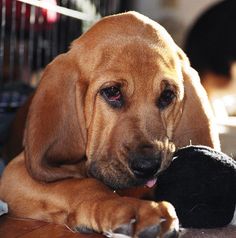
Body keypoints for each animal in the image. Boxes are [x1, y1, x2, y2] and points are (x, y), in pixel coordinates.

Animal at [0, 12, 219, 237]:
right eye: (112, 92)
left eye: (167, 95)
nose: (148, 167)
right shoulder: (14, 173)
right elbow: (80, 184)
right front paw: (132, 209)